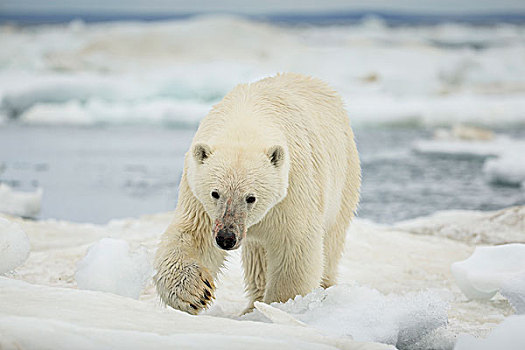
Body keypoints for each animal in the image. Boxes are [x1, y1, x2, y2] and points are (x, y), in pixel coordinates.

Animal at [155, 73, 360, 314]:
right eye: (215, 193)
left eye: (251, 197)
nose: (226, 237)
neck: (245, 122)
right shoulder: (197, 194)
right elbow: (194, 235)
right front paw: (195, 292)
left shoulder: (292, 188)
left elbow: (295, 246)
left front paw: (281, 305)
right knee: (257, 257)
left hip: (345, 176)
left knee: (331, 241)